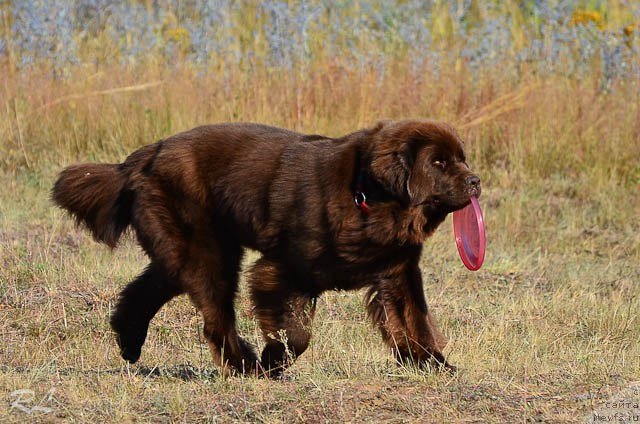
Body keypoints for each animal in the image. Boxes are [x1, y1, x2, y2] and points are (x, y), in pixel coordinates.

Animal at [52, 121, 480, 376]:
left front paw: (433, 364)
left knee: (148, 288)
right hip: (207, 252)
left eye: (462, 158)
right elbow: (296, 332)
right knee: (214, 315)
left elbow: (413, 321)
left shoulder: (397, 271)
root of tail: (146, 154)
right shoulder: (285, 269)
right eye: (438, 163)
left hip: (195, 248)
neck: (370, 197)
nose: (475, 181)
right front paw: (275, 361)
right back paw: (243, 364)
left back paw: (129, 341)